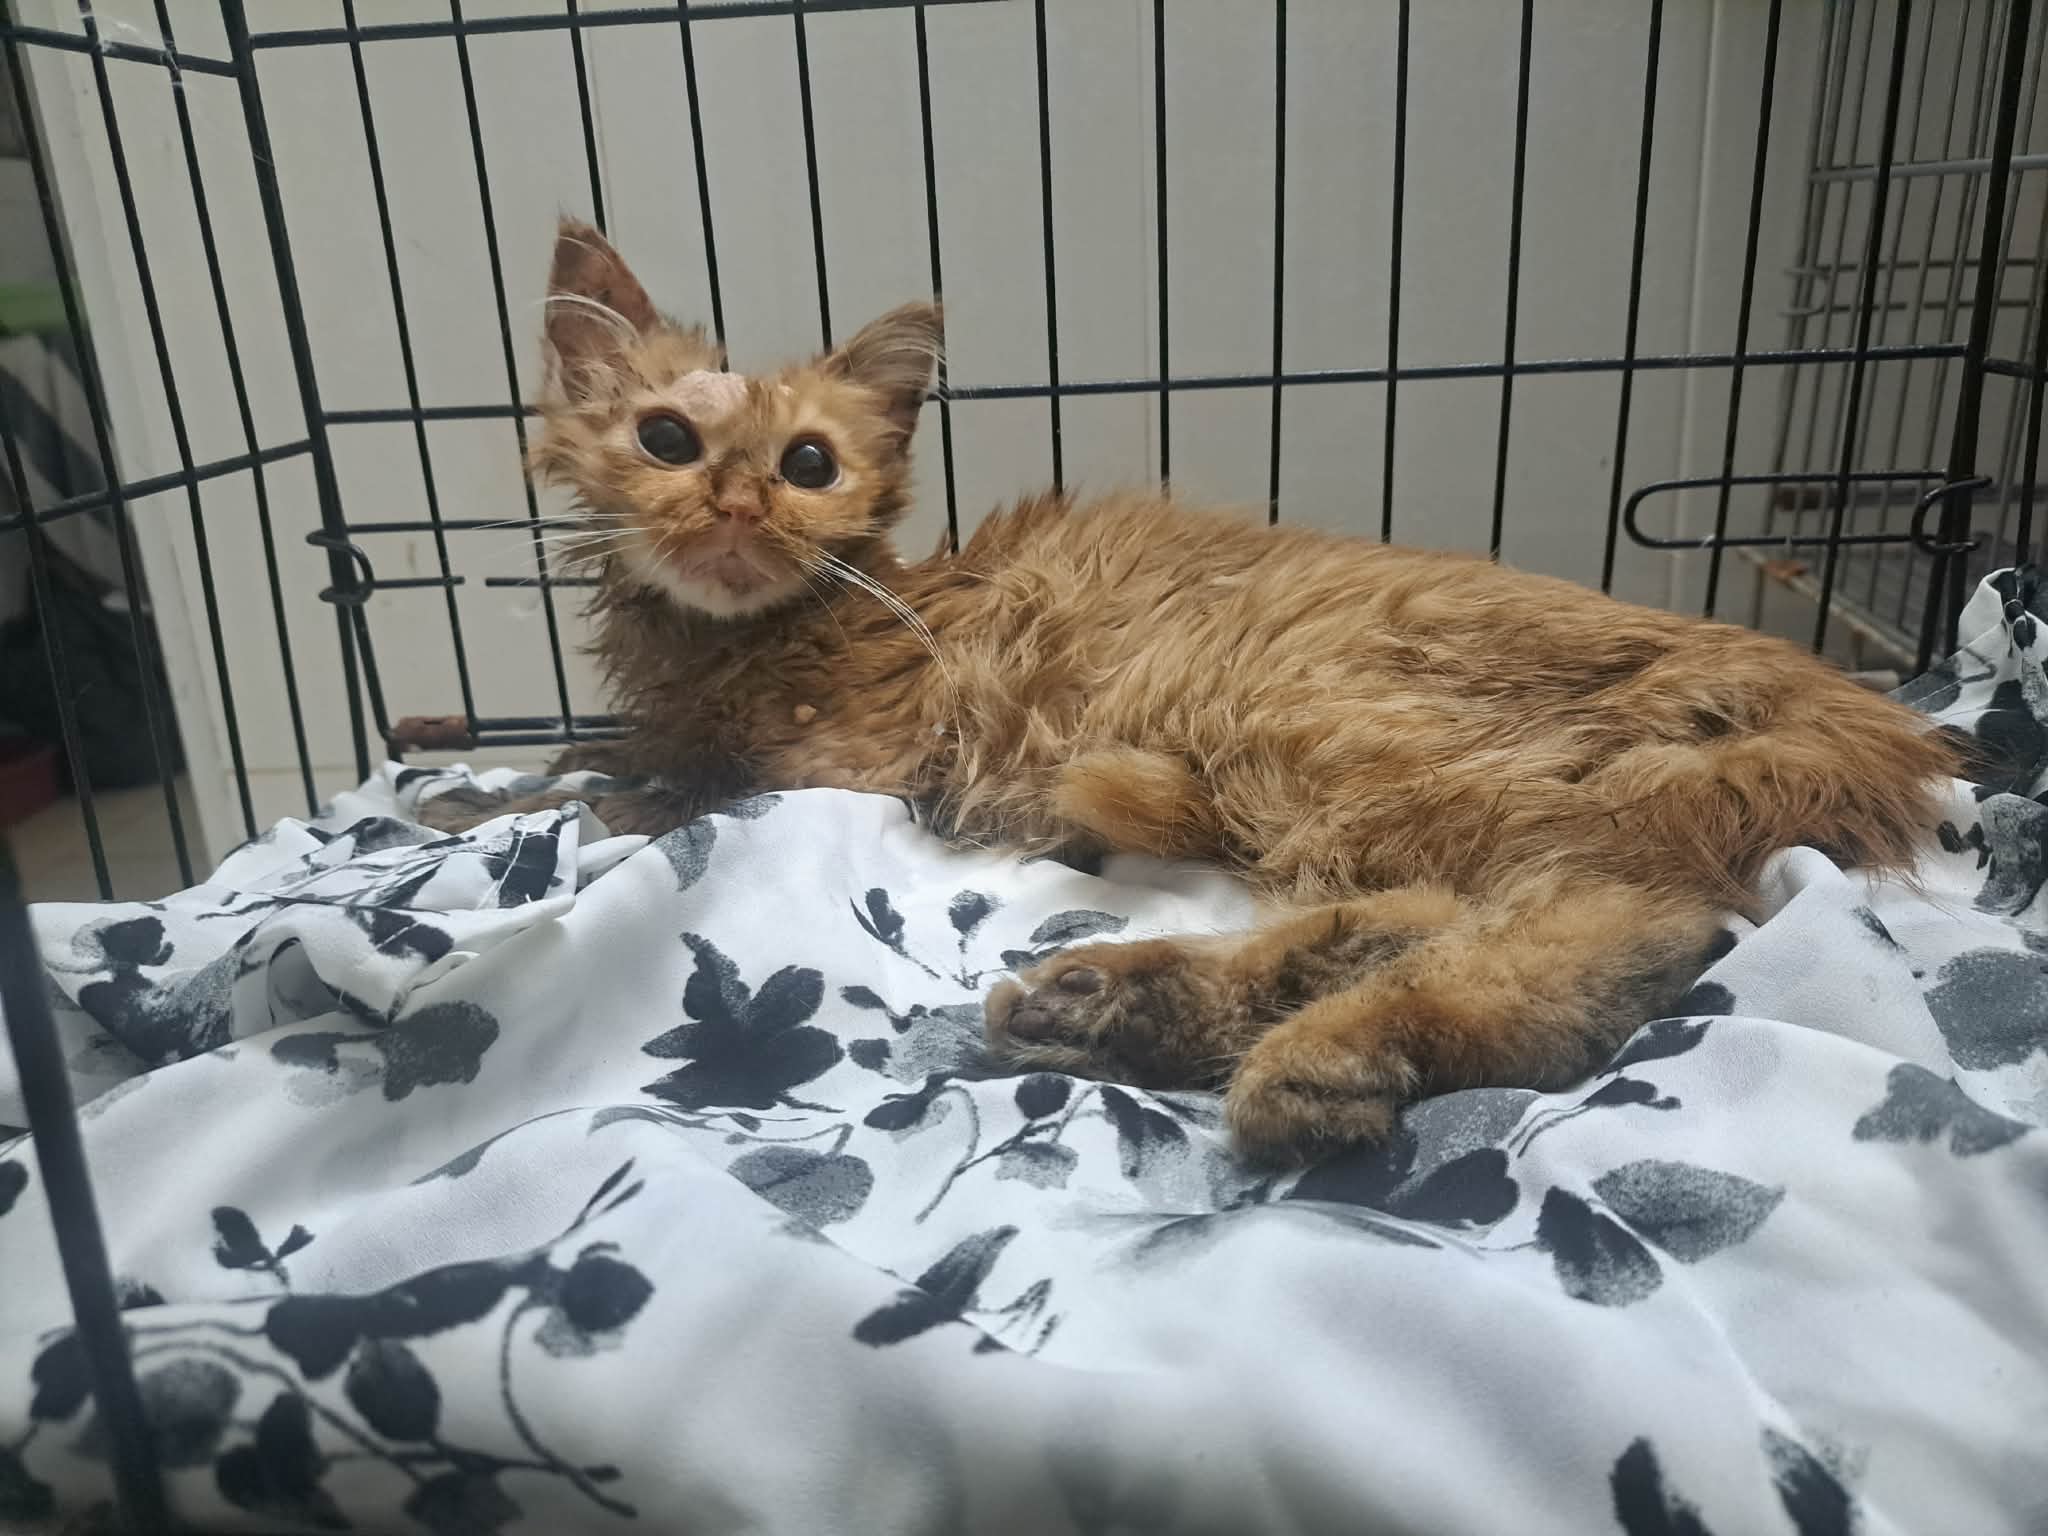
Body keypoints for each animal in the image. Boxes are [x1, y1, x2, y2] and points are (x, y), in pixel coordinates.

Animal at [421, 218, 1958, 1164]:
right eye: (666, 440)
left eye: (808, 464)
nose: (737, 506)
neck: (732, 644)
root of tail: (1808, 679)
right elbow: (581, 760)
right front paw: (471, 789)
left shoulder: (826, 766)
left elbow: (639, 792)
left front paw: (509, 808)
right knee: (1469, 912)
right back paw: (1126, 1004)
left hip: (1331, 744)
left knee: (1622, 922)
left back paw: (1311, 1056)